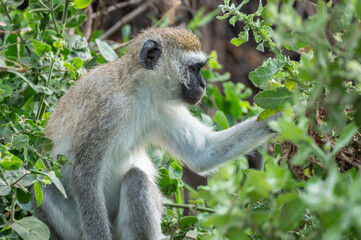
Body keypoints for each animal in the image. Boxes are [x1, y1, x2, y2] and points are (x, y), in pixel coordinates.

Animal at [35, 27, 278, 239]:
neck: (139, 92)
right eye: (193, 69)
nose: (203, 85)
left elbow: (204, 152)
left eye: (199, 68)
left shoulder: (162, 109)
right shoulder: (107, 109)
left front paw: (281, 114)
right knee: (42, 182)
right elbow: (85, 176)